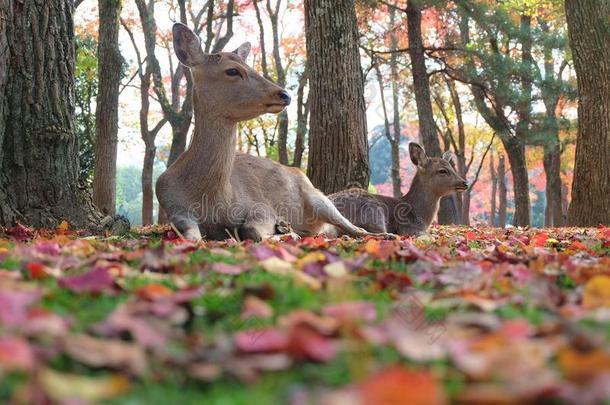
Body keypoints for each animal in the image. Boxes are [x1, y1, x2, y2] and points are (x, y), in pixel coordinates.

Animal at [157, 24, 380, 240]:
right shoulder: (174, 208)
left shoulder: (260, 206)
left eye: (249, 66)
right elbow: (191, 237)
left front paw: (284, 230)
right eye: (232, 71)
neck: (212, 197)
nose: (284, 94)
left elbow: (251, 230)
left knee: (358, 229)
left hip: (319, 197)